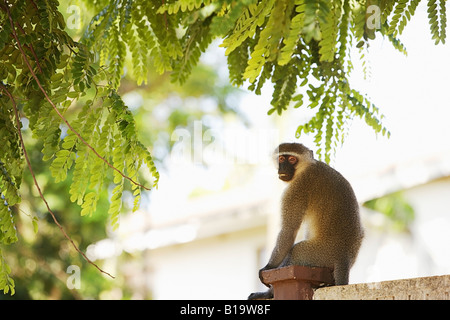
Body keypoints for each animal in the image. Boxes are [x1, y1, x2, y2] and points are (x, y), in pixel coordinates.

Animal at [248, 143, 364, 300]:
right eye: (281, 158)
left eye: (291, 159)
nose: (282, 168)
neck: (306, 166)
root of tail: (343, 255)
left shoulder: (297, 189)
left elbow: (289, 230)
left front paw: (269, 267)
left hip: (318, 254)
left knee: (294, 252)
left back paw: (269, 293)